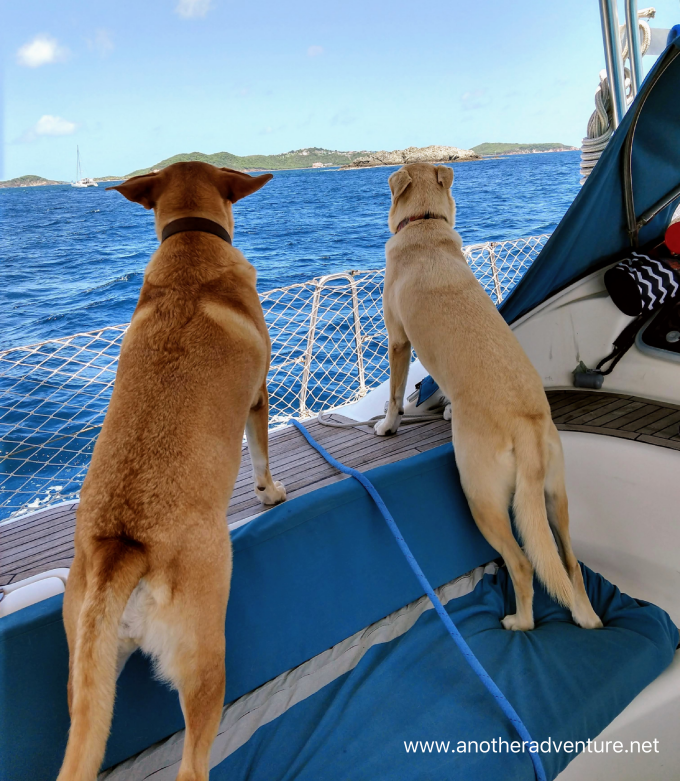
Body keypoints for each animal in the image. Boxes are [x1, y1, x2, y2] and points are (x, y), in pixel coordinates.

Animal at [55, 160, 284, 780]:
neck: (190, 246)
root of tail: (122, 546)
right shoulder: (258, 397)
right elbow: (260, 454)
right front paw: (271, 492)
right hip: (205, 660)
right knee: (192, 764)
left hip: (87, 673)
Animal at [374, 161, 604, 632]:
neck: (425, 224)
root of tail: (527, 426)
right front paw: (441, 411)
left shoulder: (399, 340)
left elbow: (394, 393)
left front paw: (387, 426)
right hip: (555, 497)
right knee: (568, 563)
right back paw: (586, 616)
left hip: (481, 497)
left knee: (523, 564)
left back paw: (520, 621)